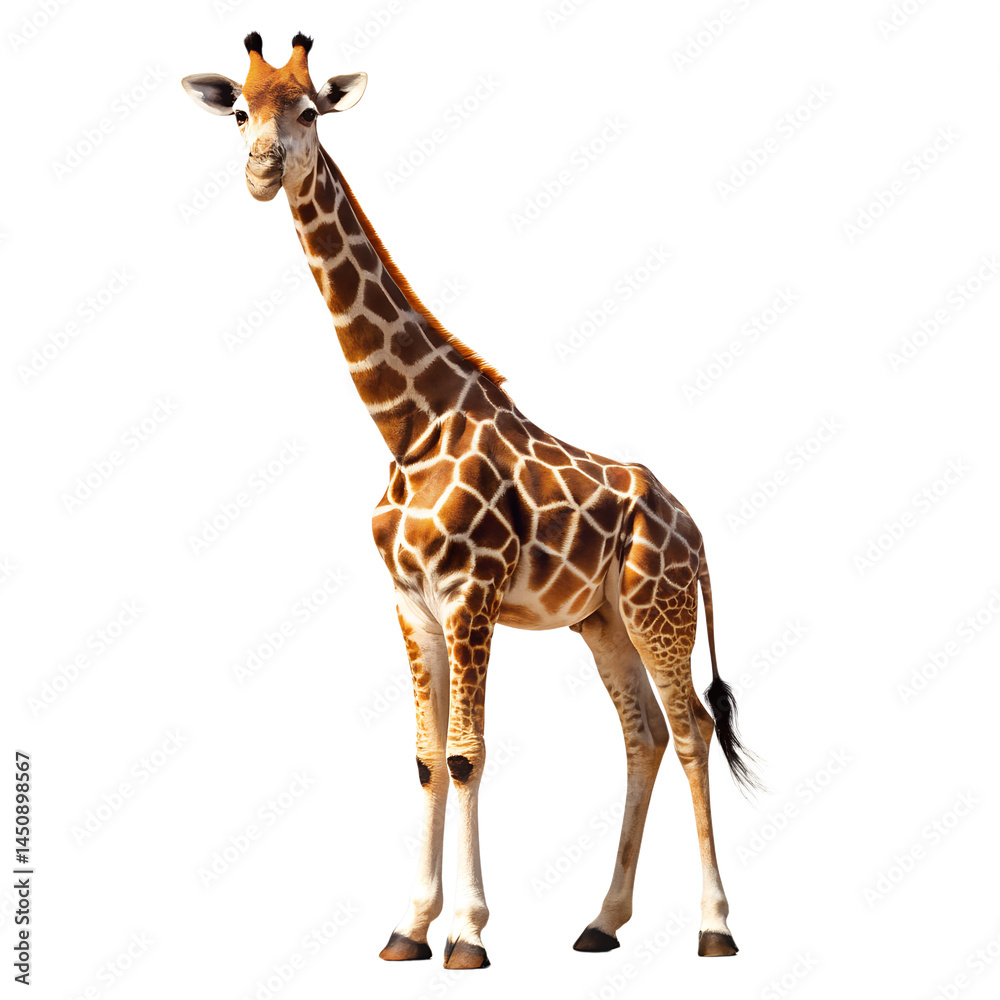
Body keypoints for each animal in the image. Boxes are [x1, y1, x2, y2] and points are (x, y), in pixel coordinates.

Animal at [183, 33, 759, 970]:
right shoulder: (411, 603)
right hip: (602, 619)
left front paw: (467, 933)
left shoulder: (470, 595)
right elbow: (424, 755)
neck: (408, 426)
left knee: (691, 730)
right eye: (239, 111)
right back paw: (602, 922)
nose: (263, 170)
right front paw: (407, 928)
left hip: (658, 606)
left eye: (308, 110)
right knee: (641, 734)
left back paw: (714, 927)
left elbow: (465, 754)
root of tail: (697, 531)